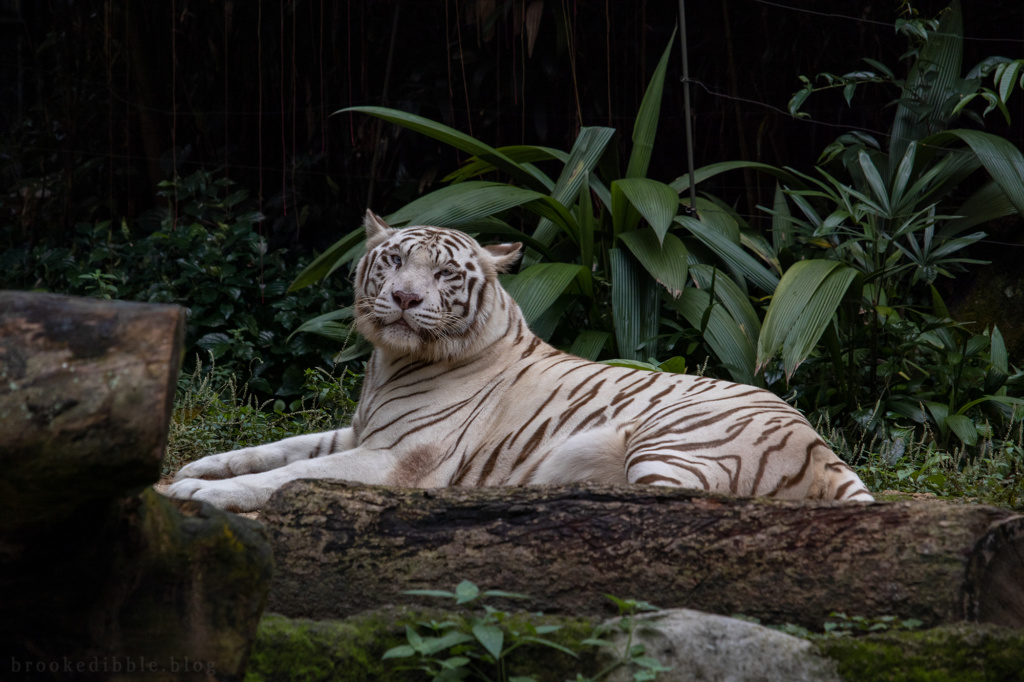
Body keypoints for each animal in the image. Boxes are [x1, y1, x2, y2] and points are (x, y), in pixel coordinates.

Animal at [167, 209, 872, 507]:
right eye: (394, 261)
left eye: (444, 274)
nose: (404, 297)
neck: (388, 364)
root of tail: (820, 445)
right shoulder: (362, 429)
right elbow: (276, 449)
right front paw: (194, 467)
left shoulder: (396, 455)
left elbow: (289, 474)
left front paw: (196, 491)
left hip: (676, 440)